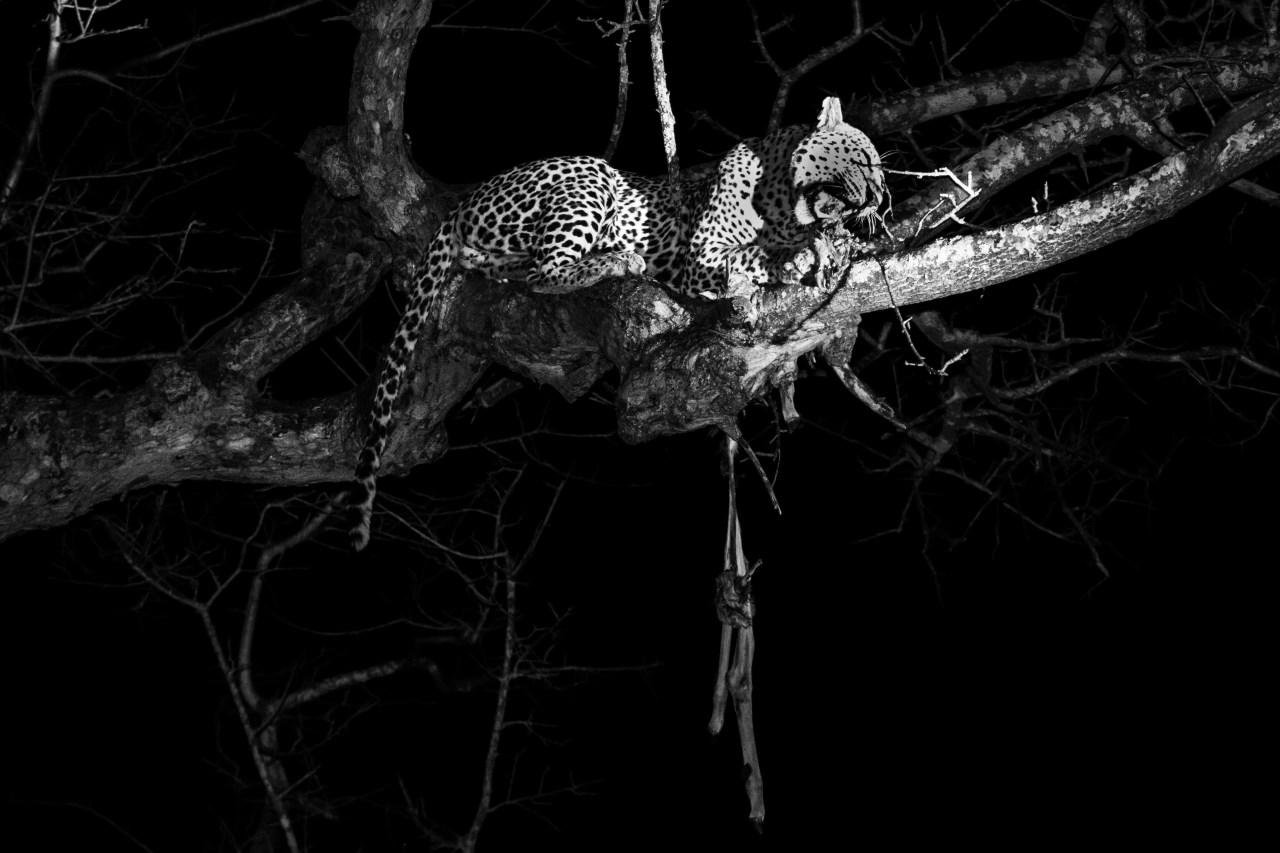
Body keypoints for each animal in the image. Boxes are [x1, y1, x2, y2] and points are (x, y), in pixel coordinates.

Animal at [348, 97, 884, 550]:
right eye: (865, 159)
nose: (881, 197)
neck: (787, 201)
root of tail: (466, 198)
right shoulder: (698, 256)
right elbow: (752, 253)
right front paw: (800, 254)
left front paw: (827, 246)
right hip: (588, 178)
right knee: (546, 273)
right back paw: (618, 260)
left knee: (511, 266)